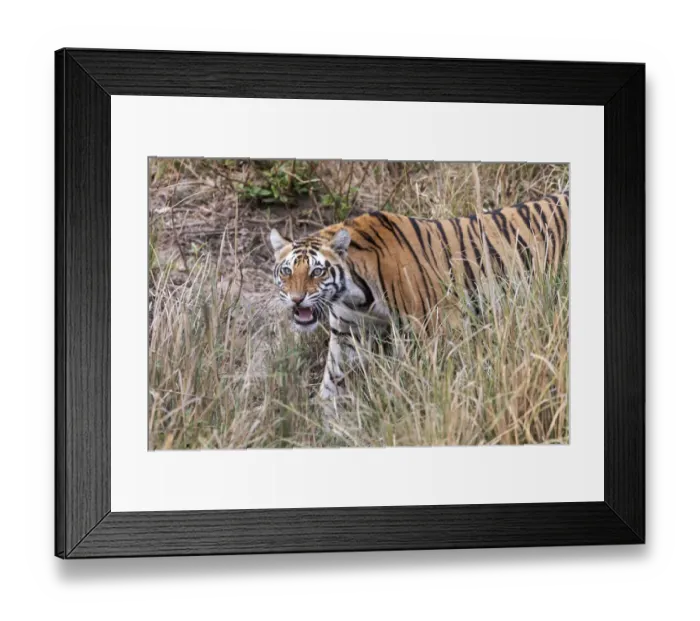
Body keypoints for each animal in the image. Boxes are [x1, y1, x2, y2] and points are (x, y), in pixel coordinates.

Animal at [269, 191, 569, 417]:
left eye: (317, 272)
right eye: (287, 271)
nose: (296, 299)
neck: (354, 294)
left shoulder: (434, 326)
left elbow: (436, 379)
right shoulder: (348, 331)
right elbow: (332, 378)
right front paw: (323, 424)